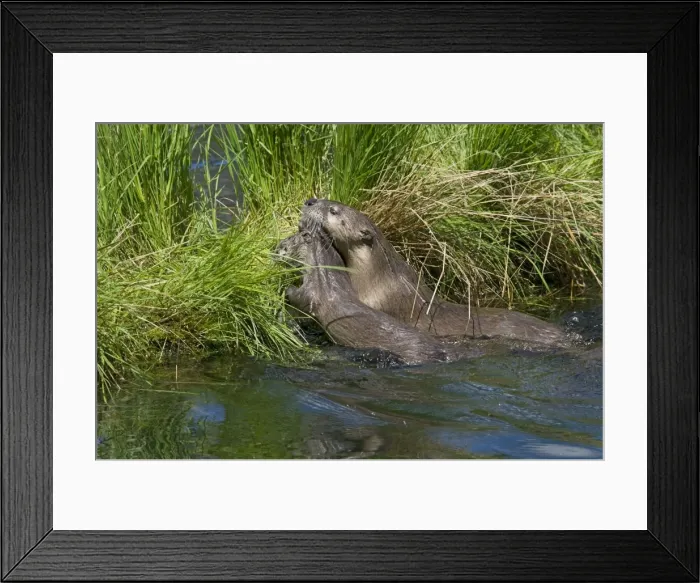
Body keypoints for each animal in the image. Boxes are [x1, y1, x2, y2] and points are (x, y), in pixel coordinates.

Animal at [279, 228, 472, 365]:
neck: (326, 276)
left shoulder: (313, 291)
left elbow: (300, 298)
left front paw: (286, 290)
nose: (276, 247)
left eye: (285, 243)